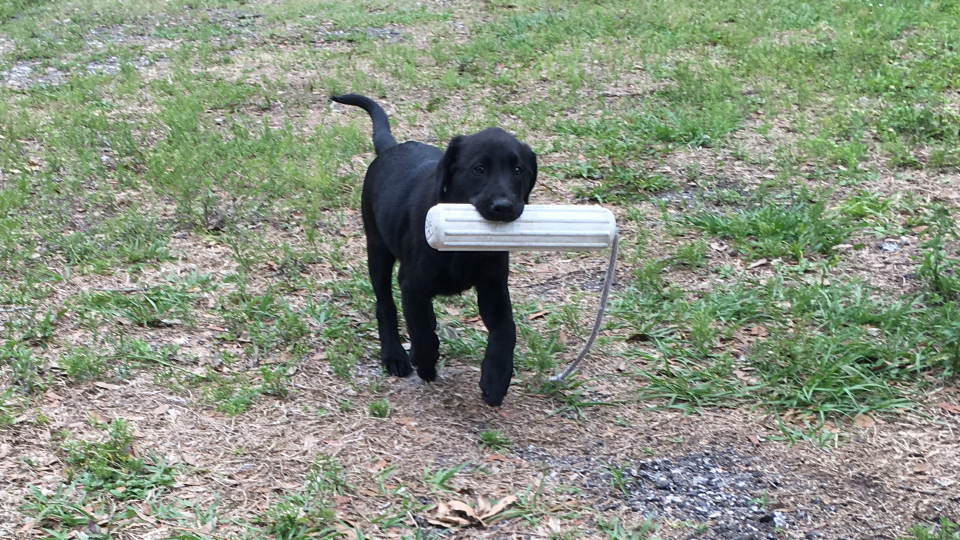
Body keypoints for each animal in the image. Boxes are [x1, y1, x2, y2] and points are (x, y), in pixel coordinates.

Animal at [332, 94, 536, 404]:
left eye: (518, 170)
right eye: (479, 169)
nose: (504, 207)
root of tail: (391, 148)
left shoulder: (493, 287)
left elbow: (506, 330)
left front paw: (496, 379)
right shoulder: (412, 283)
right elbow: (422, 335)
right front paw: (424, 362)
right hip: (377, 248)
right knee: (385, 304)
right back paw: (394, 355)